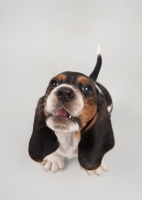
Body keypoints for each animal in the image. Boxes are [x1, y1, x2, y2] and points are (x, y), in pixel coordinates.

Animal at [28, 45, 115, 177]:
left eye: (87, 88)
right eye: (54, 83)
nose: (64, 92)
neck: (69, 137)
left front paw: (96, 166)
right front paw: (54, 158)